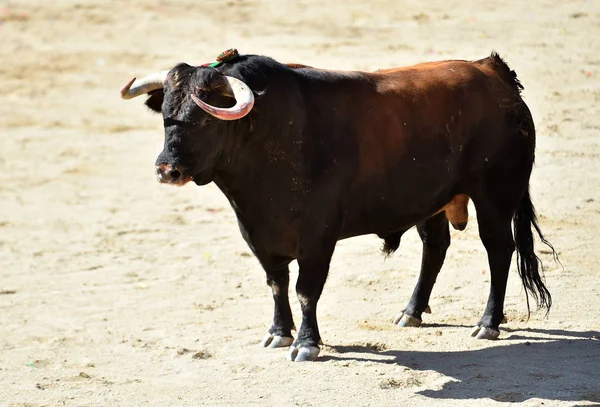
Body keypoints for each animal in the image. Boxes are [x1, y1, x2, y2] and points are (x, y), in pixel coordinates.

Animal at [119, 49, 556, 362]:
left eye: (206, 118)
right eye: (167, 115)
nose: (167, 169)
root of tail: (493, 72)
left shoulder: (318, 239)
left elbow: (306, 290)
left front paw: (307, 344)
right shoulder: (257, 234)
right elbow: (277, 285)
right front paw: (278, 334)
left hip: (496, 195)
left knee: (499, 251)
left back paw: (488, 323)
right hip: (431, 201)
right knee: (435, 248)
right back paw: (411, 312)